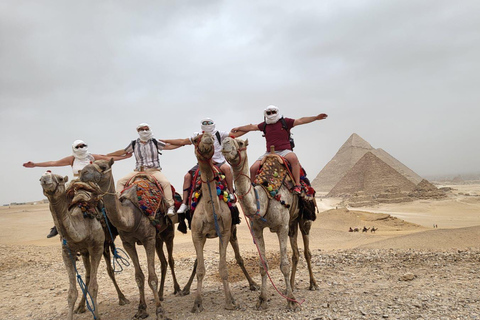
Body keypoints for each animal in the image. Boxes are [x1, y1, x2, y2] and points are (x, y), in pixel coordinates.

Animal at [40, 172, 104, 320]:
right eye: (40, 179)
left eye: (60, 178)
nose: (45, 180)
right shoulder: (67, 251)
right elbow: (71, 293)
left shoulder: (97, 247)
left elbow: (94, 287)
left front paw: (97, 316)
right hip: (84, 252)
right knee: (87, 275)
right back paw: (80, 307)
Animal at [81, 160, 172, 320]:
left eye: (103, 166)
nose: (82, 172)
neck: (131, 217)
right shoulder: (128, 243)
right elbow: (139, 277)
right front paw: (141, 310)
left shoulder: (148, 239)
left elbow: (152, 278)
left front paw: (160, 311)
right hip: (158, 238)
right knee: (163, 262)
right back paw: (161, 295)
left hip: (167, 232)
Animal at [222, 137, 318, 310]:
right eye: (222, 139)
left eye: (240, 142)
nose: (225, 142)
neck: (265, 196)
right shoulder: (257, 229)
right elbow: (263, 265)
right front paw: (262, 299)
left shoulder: (282, 227)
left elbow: (284, 265)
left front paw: (292, 301)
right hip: (292, 223)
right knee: (296, 253)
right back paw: (290, 286)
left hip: (304, 219)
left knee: (307, 251)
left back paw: (312, 284)